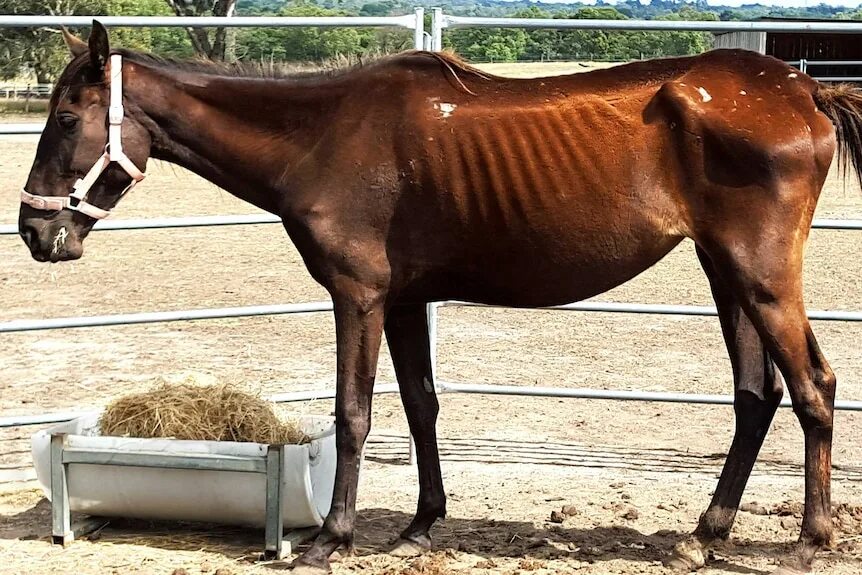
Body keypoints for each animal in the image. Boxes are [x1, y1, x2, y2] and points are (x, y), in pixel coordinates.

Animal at [16, 21, 862, 575]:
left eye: (66, 118)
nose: (34, 231)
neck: (321, 135)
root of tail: (804, 87)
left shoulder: (357, 296)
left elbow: (354, 412)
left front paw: (331, 537)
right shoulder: (400, 301)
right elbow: (421, 404)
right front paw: (423, 523)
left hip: (760, 275)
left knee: (814, 387)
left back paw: (809, 541)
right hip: (726, 274)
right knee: (756, 394)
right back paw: (704, 531)